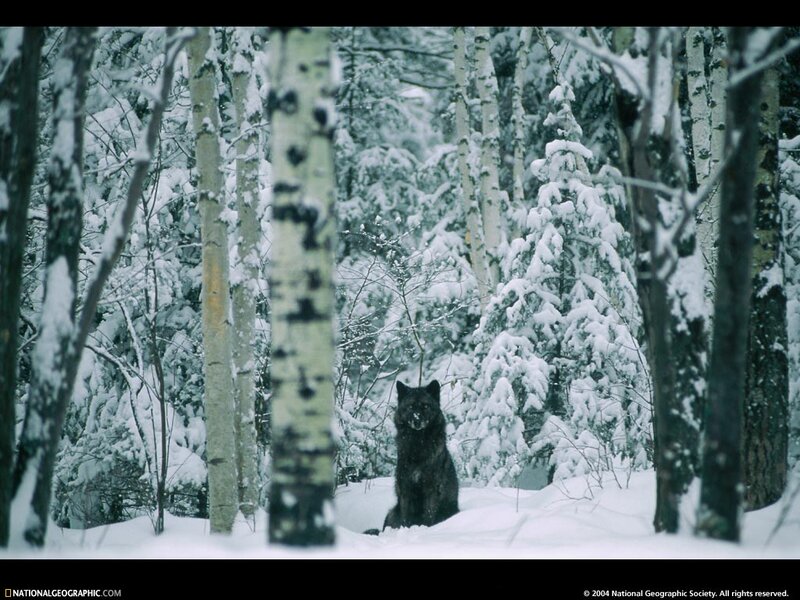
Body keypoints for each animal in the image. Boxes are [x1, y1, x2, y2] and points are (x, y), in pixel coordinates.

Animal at [383, 379, 459, 529]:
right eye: (411, 407)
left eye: (425, 406)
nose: (417, 420)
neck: (418, 444)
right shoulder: (406, 488)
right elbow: (406, 518)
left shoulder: (431, 489)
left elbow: (429, 515)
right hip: (393, 513)